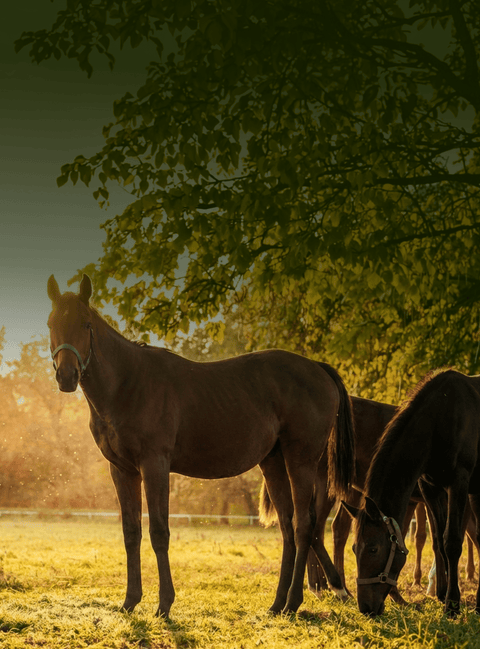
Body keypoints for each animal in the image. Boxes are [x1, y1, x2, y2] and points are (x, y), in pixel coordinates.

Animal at [46, 274, 355, 617]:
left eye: (85, 324)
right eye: (51, 324)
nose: (67, 376)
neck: (129, 383)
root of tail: (317, 367)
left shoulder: (154, 465)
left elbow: (158, 532)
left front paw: (164, 604)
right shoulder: (123, 471)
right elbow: (131, 533)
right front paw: (130, 601)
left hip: (300, 460)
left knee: (303, 526)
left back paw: (293, 602)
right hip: (272, 462)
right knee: (287, 527)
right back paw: (277, 604)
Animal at [347, 368, 480, 617]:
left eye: (373, 549)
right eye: (354, 548)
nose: (366, 608)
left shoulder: (458, 483)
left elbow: (452, 541)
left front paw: (452, 603)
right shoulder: (431, 488)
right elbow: (439, 540)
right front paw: (442, 594)